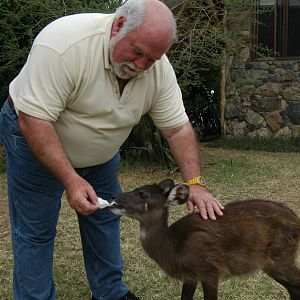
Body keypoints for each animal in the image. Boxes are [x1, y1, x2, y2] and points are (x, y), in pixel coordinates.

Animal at [109, 178, 300, 300]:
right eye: (136, 189)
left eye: (143, 194)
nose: (113, 196)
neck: (175, 247)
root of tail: (297, 222)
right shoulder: (189, 277)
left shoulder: (210, 271)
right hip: (271, 264)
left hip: (281, 257)